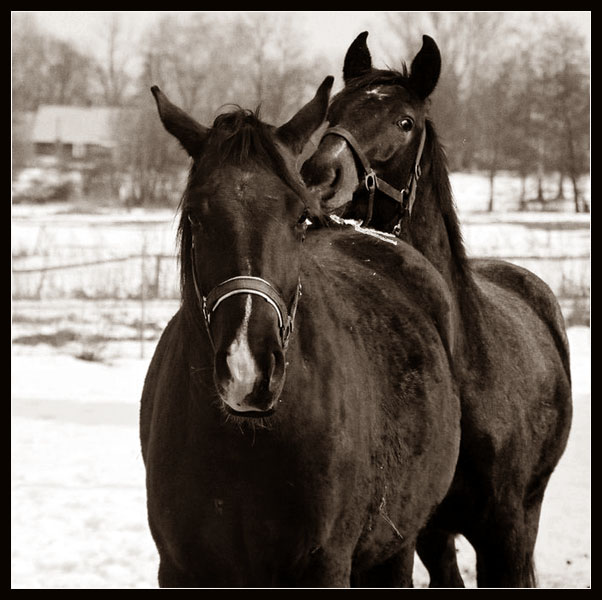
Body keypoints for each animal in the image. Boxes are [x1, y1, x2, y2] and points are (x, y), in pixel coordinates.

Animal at [139, 77, 460, 588]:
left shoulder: (324, 565)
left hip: (397, 544)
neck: (244, 447)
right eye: (196, 216)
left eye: (300, 218)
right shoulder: (179, 567)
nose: (248, 369)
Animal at [300, 31, 572, 584]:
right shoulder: (413, 534)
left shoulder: (503, 532)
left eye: (405, 122)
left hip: (528, 510)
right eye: (333, 109)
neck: (464, 363)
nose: (319, 176)